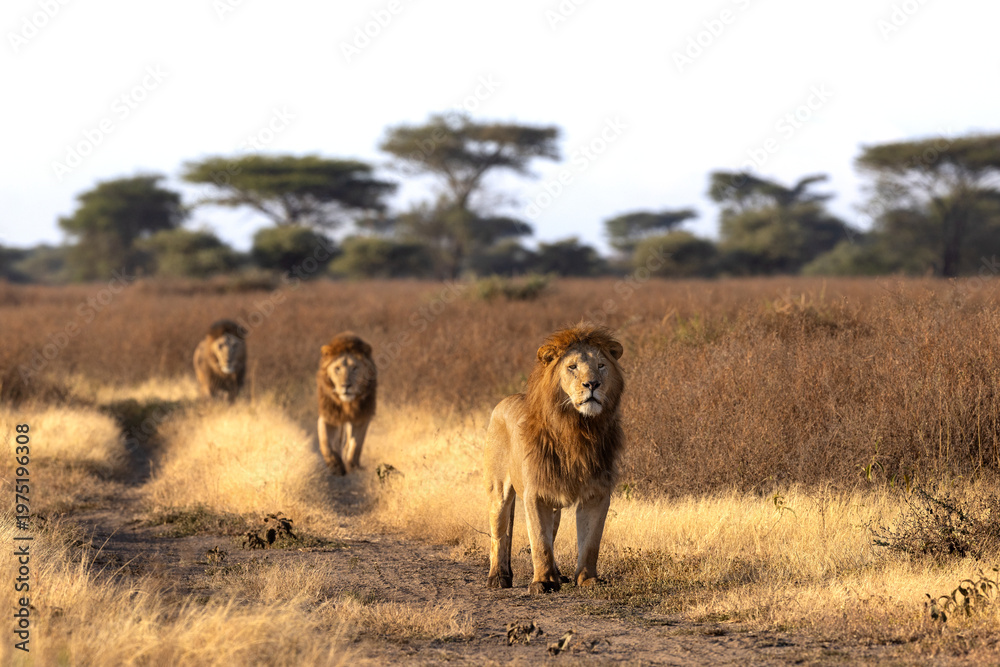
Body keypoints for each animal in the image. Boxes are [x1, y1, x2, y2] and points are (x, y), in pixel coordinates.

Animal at [316, 333, 377, 476]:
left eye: (354, 368)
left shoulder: (362, 417)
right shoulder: (328, 416)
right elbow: (325, 442)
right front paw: (335, 465)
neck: (347, 404)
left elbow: (355, 444)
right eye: (337, 368)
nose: (346, 385)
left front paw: (352, 466)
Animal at [484, 323, 625, 595]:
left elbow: (590, 542)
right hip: (498, 490)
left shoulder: (597, 493)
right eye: (572, 367)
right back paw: (498, 577)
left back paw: (558, 574)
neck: (578, 429)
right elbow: (539, 541)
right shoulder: (535, 493)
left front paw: (588, 580)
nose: (593, 384)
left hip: (555, 505)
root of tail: (503, 401)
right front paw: (543, 582)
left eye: (601, 365)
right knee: (499, 534)